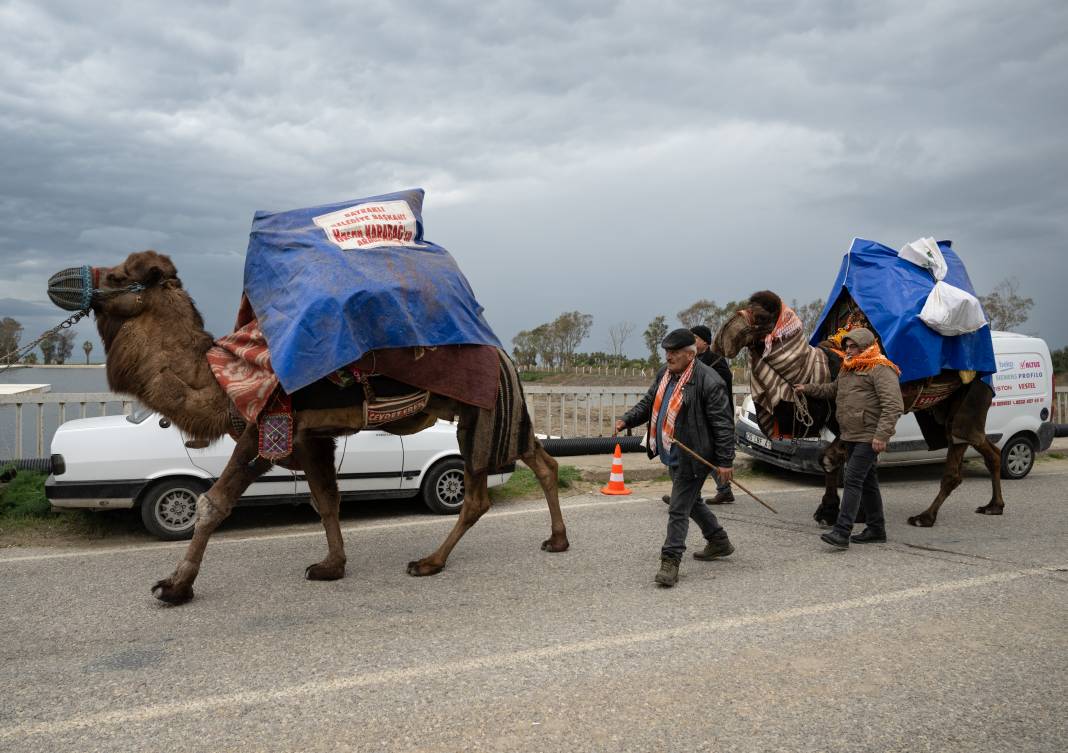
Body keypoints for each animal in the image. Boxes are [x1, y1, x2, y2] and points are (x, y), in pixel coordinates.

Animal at [52, 252, 568, 606]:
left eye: (118, 276)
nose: (60, 280)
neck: (220, 374)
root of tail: (505, 354)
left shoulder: (262, 426)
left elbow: (213, 503)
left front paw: (175, 587)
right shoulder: (305, 436)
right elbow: (325, 500)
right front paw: (330, 566)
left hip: (480, 411)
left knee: (480, 494)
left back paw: (428, 563)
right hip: (501, 414)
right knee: (541, 460)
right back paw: (556, 541)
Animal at [713, 290, 1003, 525]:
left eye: (761, 316)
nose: (721, 338)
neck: (819, 369)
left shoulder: (851, 422)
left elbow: (830, 458)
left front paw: (831, 511)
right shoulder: (841, 422)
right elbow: (849, 463)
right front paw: (850, 514)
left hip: (971, 397)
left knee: (960, 449)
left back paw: (926, 517)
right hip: (941, 410)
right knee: (986, 448)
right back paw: (994, 506)